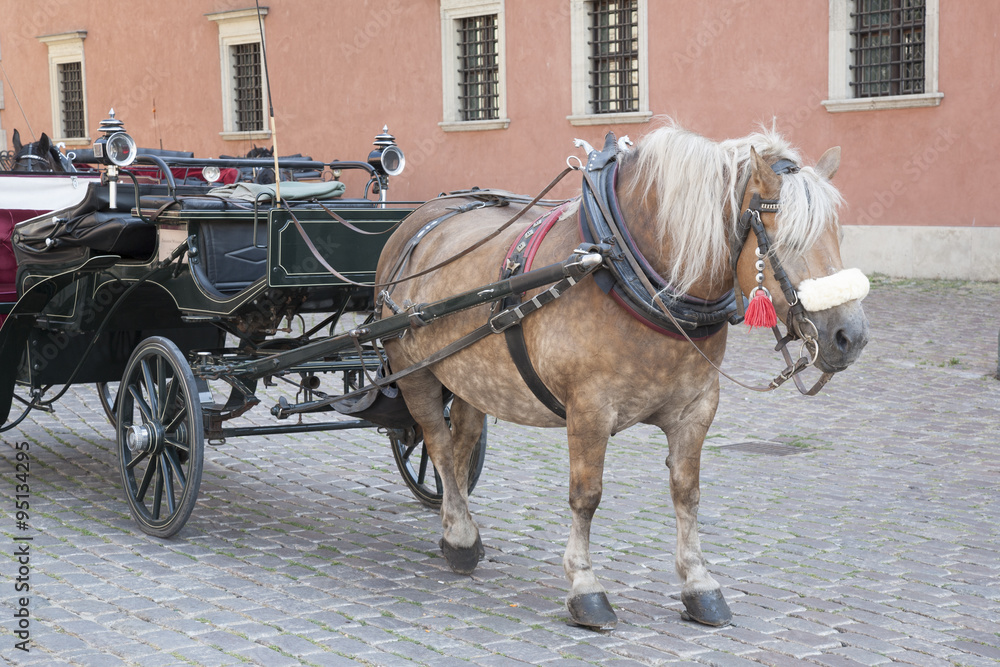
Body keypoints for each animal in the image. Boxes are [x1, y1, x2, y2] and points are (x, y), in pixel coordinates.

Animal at [372, 121, 872, 632]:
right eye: (784, 237)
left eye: (837, 232)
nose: (849, 336)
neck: (629, 270)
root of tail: (419, 219)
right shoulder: (589, 409)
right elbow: (586, 495)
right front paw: (585, 586)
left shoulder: (697, 408)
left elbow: (687, 493)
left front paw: (699, 583)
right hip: (415, 370)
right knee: (436, 441)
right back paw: (458, 534)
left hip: (471, 376)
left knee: (461, 445)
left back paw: (459, 530)